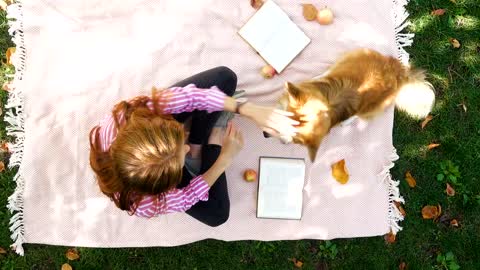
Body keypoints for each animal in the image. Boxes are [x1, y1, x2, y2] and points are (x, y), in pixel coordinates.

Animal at [268, 48, 436, 161]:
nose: (266, 135)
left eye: (297, 140)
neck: (326, 104)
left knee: (359, 114)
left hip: (373, 105)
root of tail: (397, 72)